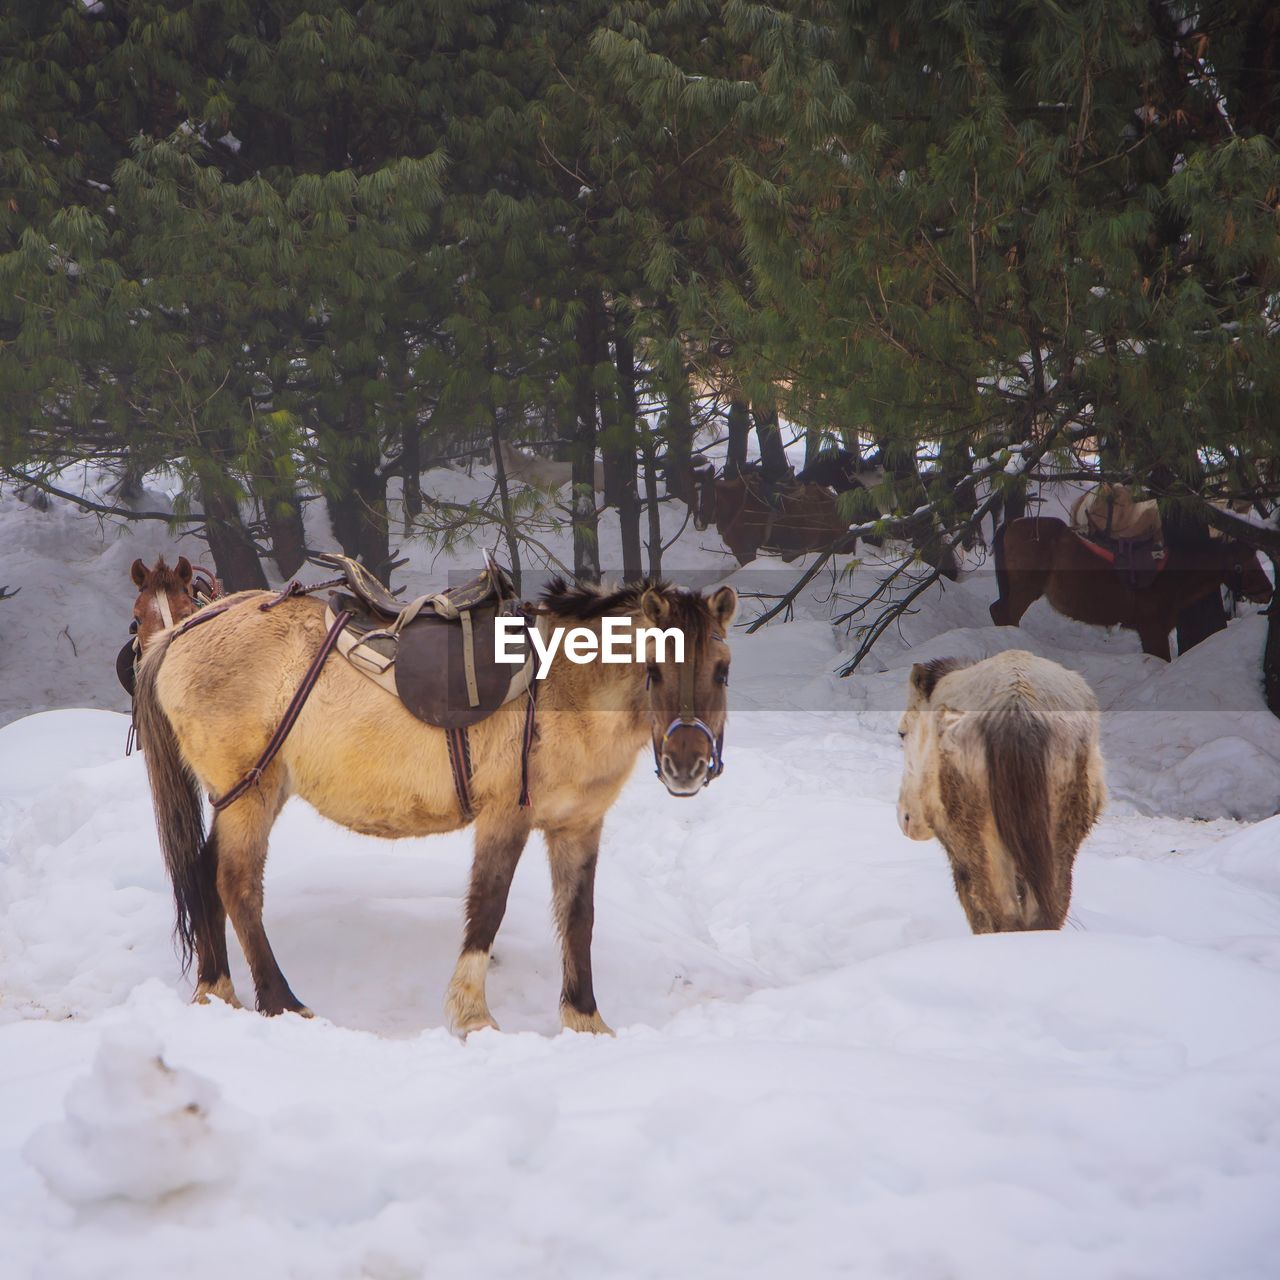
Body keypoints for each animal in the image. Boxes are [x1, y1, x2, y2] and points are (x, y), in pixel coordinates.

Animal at [133, 581, 737, 1039]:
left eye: (722, 670)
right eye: (654, 670)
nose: (687, 763)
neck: (565, 685)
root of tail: (185, 627)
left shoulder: (578, 826)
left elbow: (578, 918)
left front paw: (585, 1020)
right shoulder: (506, 818)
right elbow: (488, 907)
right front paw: (473, 1016)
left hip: (252, 793)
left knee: (204, 875)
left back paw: (217, 991)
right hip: (249, 795)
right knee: (237, 885)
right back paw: (283, 1002)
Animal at [896, 655, 1105, 936]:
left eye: (902, 733)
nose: (906, 818)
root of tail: (1017, 709)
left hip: (978, 841)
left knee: (1002, 915)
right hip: (1059, 839)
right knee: (1047, 914)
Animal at [988, 517, 1269, 660]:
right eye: (1241, 565)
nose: (1269, 590)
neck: (1168, 574)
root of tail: (1011, 524)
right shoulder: (1152, 628)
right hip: (1025, 588)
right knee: (1005, 614)